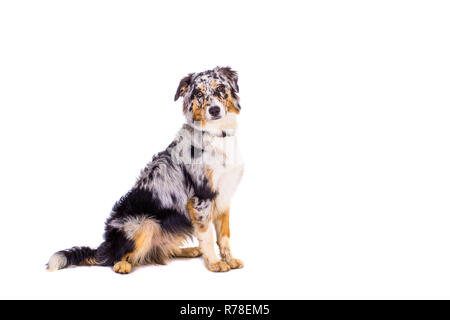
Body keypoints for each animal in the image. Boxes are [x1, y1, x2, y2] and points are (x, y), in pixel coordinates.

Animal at [47, 66, 244, 274]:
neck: (218, 134)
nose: (214, 110)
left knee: (158, 252)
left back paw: (189, 250)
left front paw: (230, 260)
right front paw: (214, 263)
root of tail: (105, 247)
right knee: (119, 258)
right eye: (199, 94)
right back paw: (123, 265)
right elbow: (207, 236)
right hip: (146, 223)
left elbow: (224, 236)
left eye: (220, 88)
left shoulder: (224, 197)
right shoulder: (202, 197)